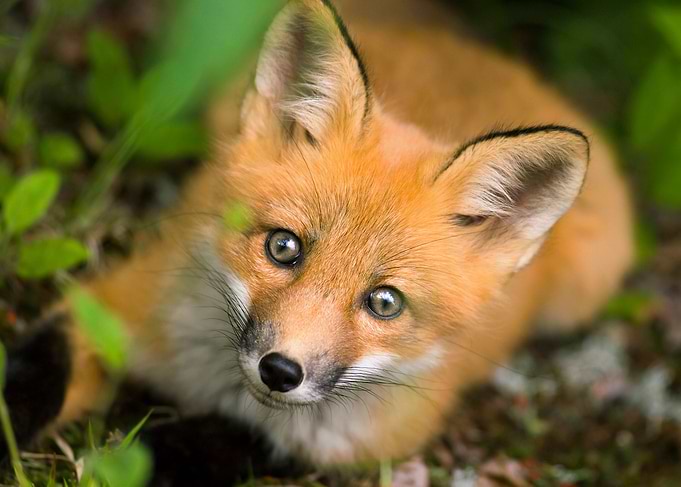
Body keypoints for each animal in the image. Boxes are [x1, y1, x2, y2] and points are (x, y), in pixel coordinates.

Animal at [4, 0, 633, 481]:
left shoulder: (355, 442)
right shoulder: (114, 305)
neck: (216, 383)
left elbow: (239, 438)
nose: (280, 372)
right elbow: (34, 376)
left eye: (385, 302)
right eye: (284, 247)